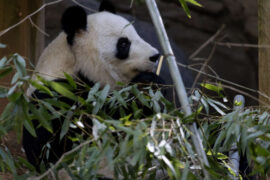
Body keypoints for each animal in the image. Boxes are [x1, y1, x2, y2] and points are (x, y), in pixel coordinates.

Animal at [23, 0, 166, 172]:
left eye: (137, 34)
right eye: (123, 44)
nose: (155, 56)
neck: (74, 64)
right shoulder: (53, 97)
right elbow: (51, 150)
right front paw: (144, 85)